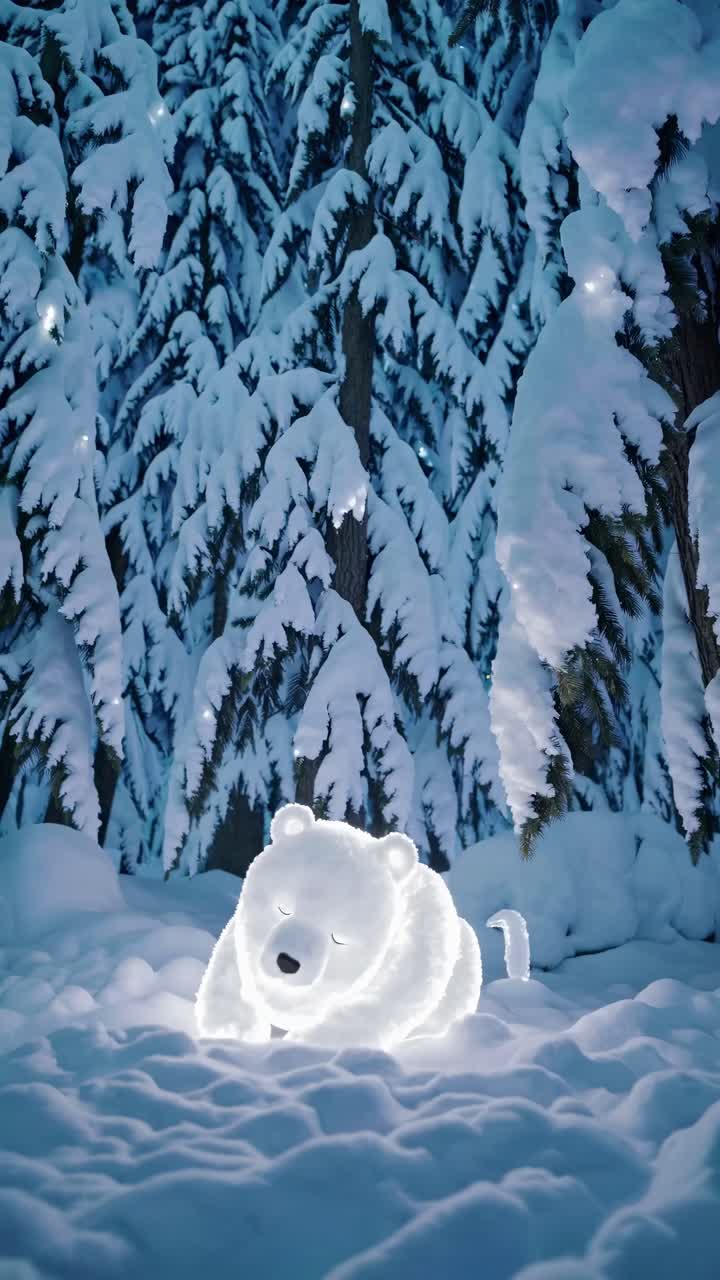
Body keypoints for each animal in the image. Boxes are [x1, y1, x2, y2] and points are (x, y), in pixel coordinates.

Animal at [195, 803, 530, 1051]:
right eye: (283, 908)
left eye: (339, 937)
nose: (287, 961)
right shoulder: (243, 941)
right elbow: (230, 979)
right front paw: (231, 1033)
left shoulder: (407, 958)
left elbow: (364, 1014)